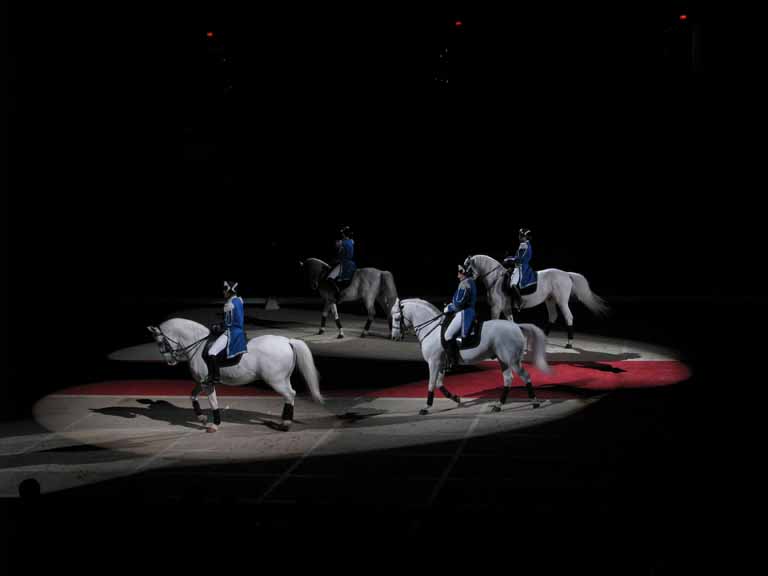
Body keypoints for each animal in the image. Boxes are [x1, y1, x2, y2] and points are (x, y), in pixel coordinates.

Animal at [148, 320, 324, 432]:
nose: (170, 361)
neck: (198, 345)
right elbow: (192, 396)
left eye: (160, 342)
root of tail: (287, 341)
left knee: (290, 394)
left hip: (276, 380)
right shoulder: (202, 382)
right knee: (290, 395)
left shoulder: (208, 383)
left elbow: (213, 402)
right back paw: (283, 421)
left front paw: (214, 425)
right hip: (283, 378)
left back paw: (285, 424)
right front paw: (202, 418)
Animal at [390, 296, 552, 414]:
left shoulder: (434, 362)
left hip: (512, 361)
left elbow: (431, 383)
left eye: (397, 318)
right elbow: (439, 383)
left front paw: (426, 407)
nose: (395, 337)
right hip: (503, 360)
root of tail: (516, 326)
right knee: (508, 379)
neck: (432, 329)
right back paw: (498, 405)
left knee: (525, 376)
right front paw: (456, 398)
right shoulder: (441, 363)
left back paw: (534, 402)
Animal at [464, 255, 608, 346]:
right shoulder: (506, 308)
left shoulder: (496, 307)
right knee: (553, 316)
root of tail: (566, 274)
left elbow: (495, 322)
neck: (496, 278)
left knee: (568, 317)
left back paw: (569, 343)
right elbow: (511, 322)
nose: (464, 281)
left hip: (561, 301)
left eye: (467, 267)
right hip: (550, 300)